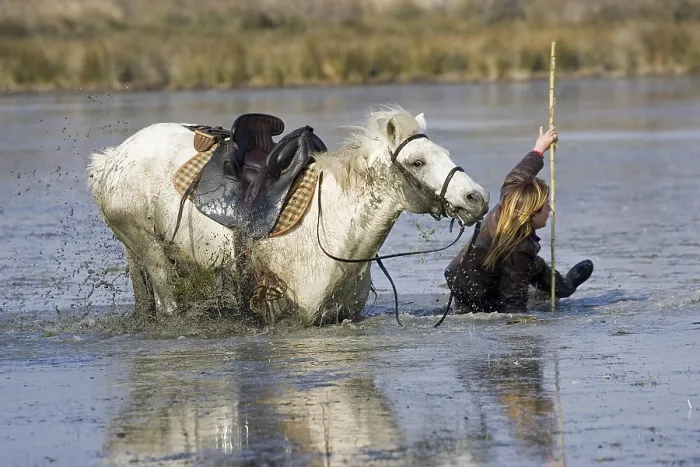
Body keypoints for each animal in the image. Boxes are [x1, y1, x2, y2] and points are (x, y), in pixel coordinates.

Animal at [87, 106, 489, 326]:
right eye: (417, 161)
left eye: (444, 153)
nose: (477, 198)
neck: (334, 226)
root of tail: (112, 158)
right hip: (151, 253)